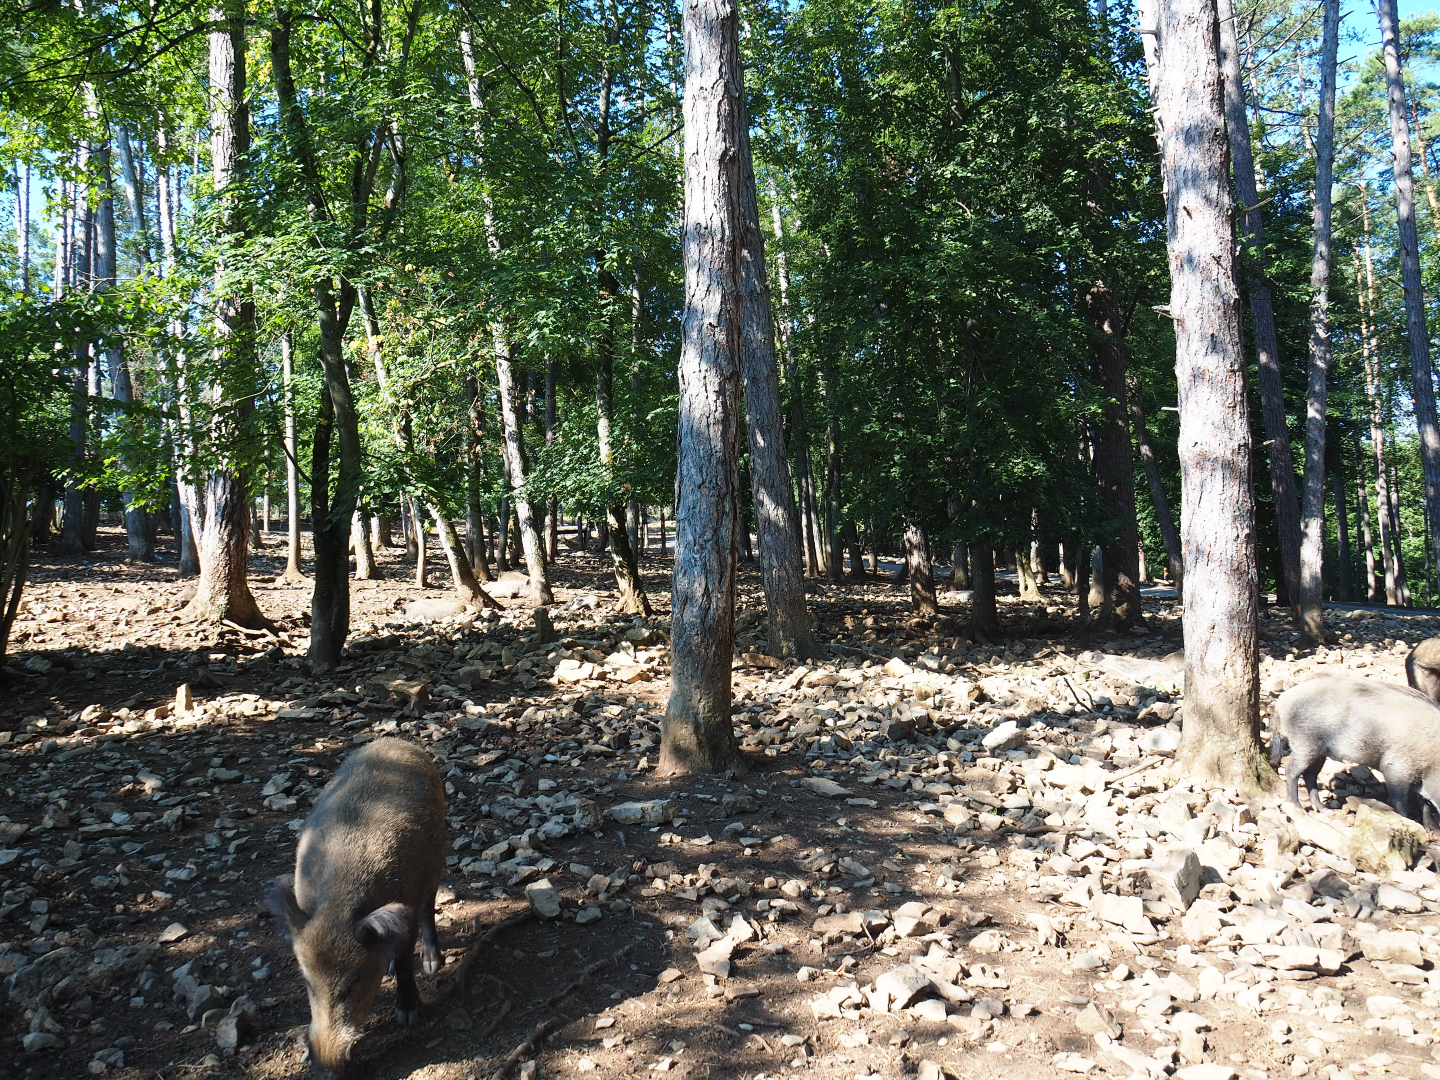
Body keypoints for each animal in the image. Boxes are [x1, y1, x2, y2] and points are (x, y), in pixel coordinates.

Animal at [269, 737, 445, 1076]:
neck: (338, 907)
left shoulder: (408, 900)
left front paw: (408, 1016)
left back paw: (432, 964)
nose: (325, 1068)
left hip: (437, 857)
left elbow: (404, 961)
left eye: (353, 983)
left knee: (430, 907)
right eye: (308, 984)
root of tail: (396, 741)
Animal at [1271, 674, 1440, 824]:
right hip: (1305, 743)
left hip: (1320, 752)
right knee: (1291, 771)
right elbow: (1401, 803)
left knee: (1310, 775)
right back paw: (1298, 807)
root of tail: (1281, 700)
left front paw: (1429, 828)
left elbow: (1424, 805)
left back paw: (1325, 810)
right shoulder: (1395, 768)